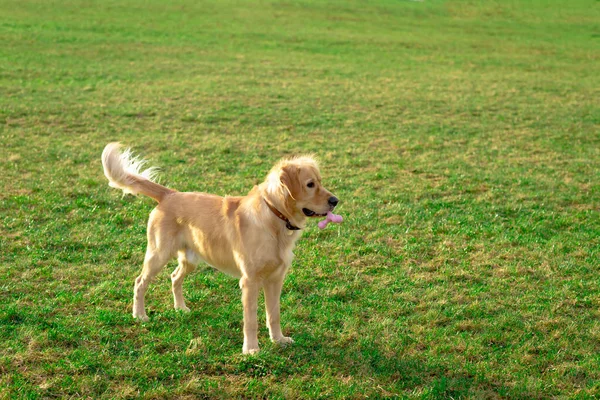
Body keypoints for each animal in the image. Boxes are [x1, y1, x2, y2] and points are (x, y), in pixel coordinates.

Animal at [101, 143, 340, 354]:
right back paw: (140, 315)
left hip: (191, 258)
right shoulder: (250, 281)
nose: (335, 200)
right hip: (158, 254)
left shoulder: (275, 279)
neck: (274, 216)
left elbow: (274, 315)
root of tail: (170, 194)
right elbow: (251, 320)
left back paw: (181, 308)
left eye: (320, 182)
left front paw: (279, 340)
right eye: (310, 184)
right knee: (140, 282)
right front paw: (251, 349)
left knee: (174, 277)